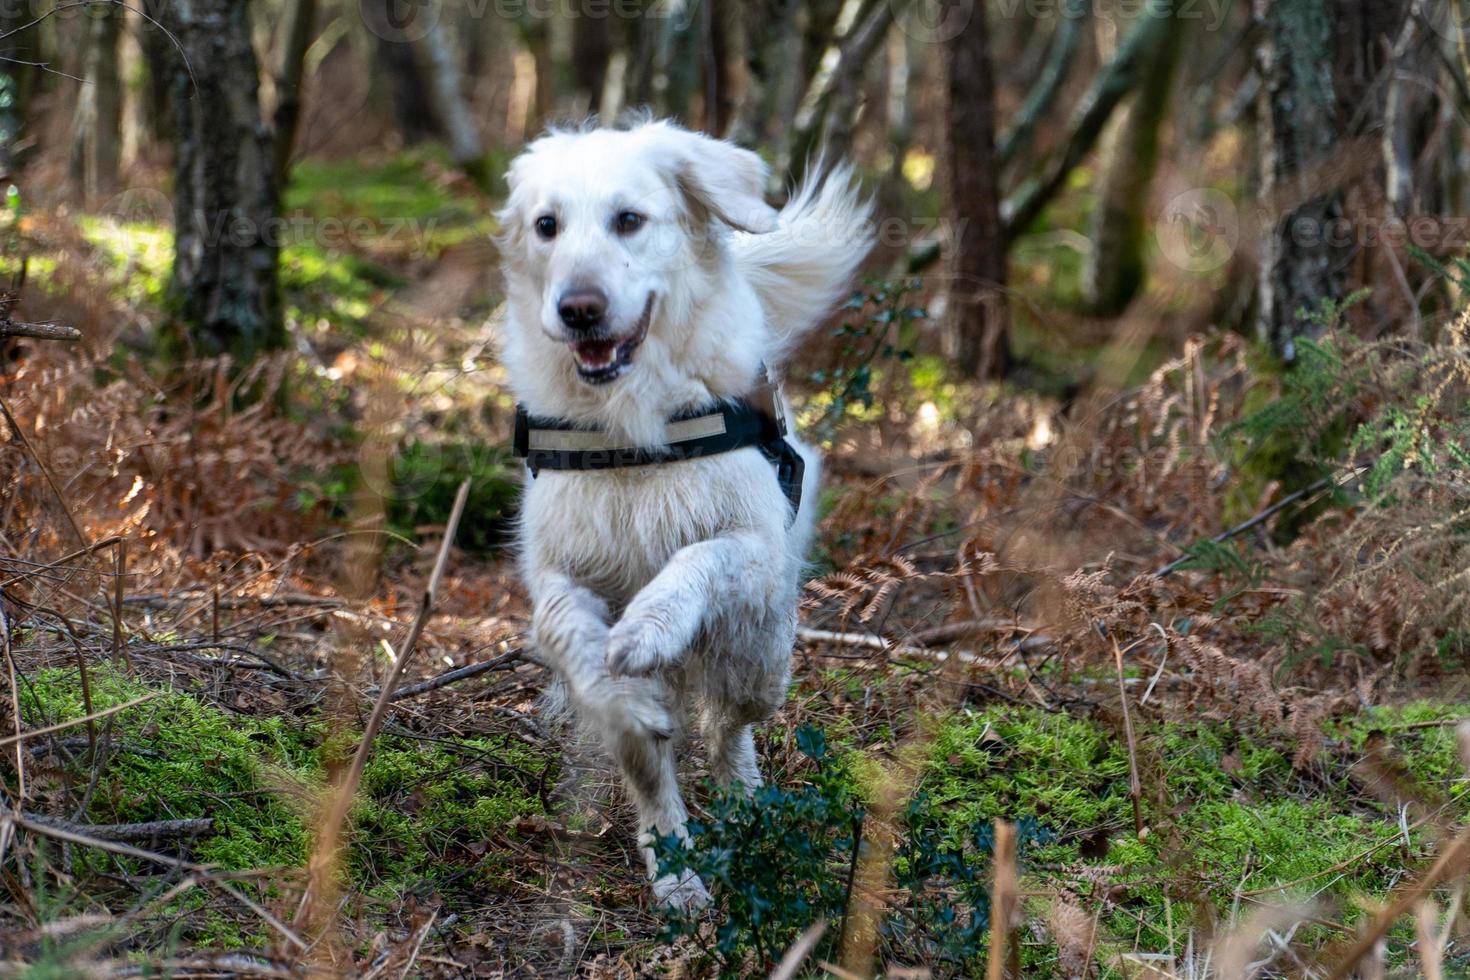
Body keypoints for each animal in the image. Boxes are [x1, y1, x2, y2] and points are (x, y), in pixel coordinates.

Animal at [493, 120, 870, 910]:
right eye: (547, 226)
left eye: (629, 219)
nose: (578, 308)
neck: (631, 427)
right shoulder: (556, 571)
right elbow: (573, 636)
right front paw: (622, 688)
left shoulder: (752, 549)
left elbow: (697, 558)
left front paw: (648, 627)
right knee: (655, 780)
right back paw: (677, 877)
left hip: (763, 659)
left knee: (731, 729)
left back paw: (747, 806)